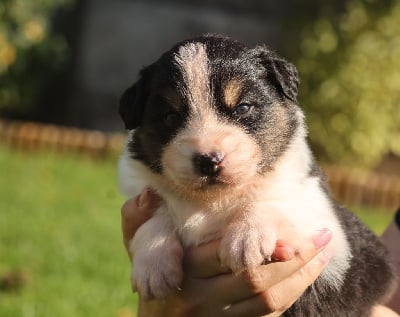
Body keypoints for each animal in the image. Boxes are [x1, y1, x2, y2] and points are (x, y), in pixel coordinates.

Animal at [118, 33, 394, 314]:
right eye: (171, 116)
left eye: (242, 108)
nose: (209, 161)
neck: (212, 201)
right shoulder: (142, 188)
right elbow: (157, 208)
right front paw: (153, 266)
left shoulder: (327, 228)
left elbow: (275, 196)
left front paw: (246, 238)